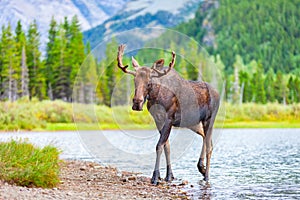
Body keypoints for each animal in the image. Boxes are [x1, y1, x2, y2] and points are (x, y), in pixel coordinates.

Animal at [116, 44, 219, 184]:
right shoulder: (158, 120)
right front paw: (168, 175)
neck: (156, 97)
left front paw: (155, 177)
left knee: (209, 146)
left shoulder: (169, 118)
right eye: (134, 80)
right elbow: (167, 146)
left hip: (209, 119)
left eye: (149, 83)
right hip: (194, 123)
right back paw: (201, 168)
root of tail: (218, 94)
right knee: (206, 138)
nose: (137, 102)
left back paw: (207, 176)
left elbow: (159, 145)